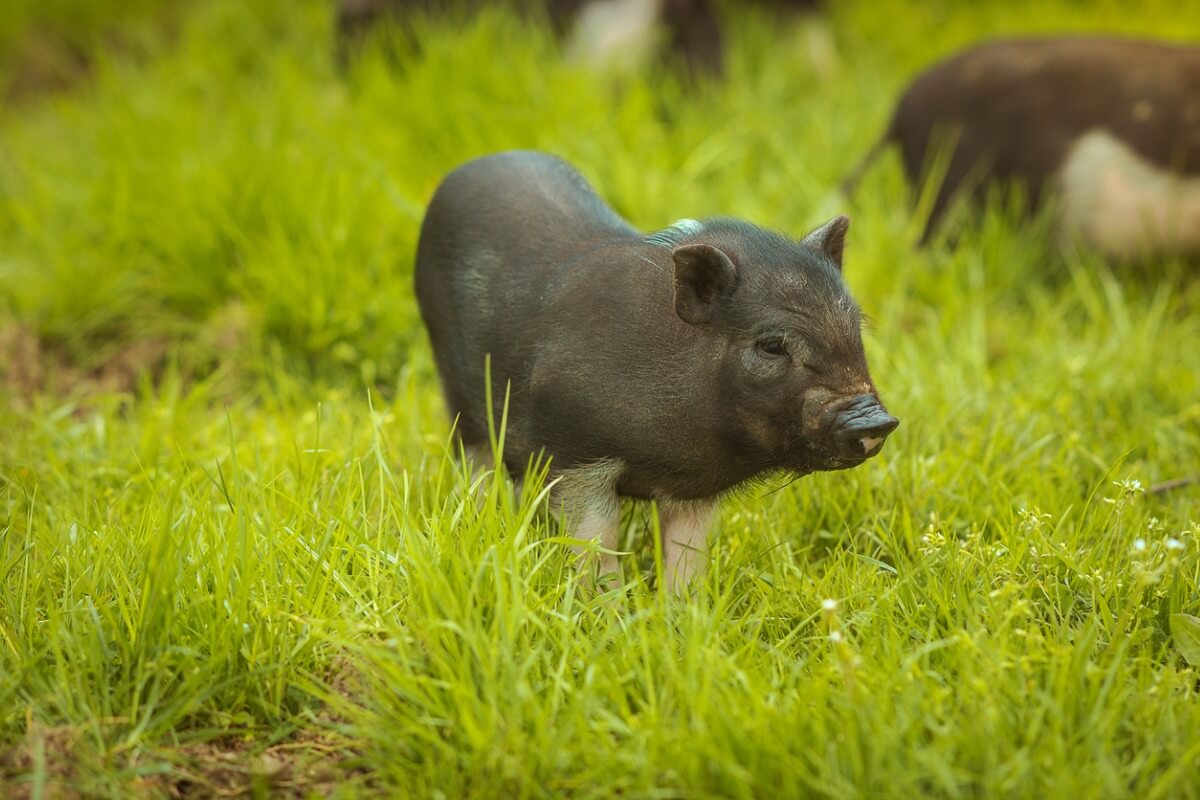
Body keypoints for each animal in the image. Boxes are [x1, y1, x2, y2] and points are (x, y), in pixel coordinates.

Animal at [415, 151, 898, 592]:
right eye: (773, 345)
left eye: (854, 328)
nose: (875, 418)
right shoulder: (576, 456)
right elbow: (596, 548)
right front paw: (608, 613)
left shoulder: (694, 490)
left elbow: (686, 556)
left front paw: (683, 612)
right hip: (460, 400)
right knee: (476, 464)